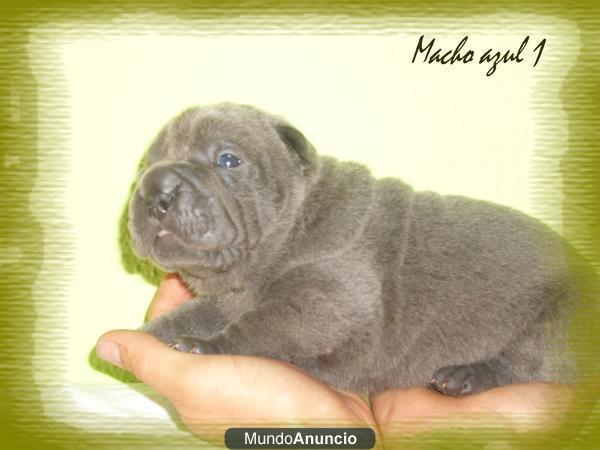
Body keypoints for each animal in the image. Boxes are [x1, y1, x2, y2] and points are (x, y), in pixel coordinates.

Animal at [127, 101, 576, 394]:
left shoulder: (327, 301)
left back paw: (464, 377)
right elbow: (191, 314)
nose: (153, 188)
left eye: (227, 160)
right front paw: (150, 332)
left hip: (555, 319)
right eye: (145, 165)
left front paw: (208, 346)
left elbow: (262, 323)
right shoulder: (226, 299)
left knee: (529, 368)